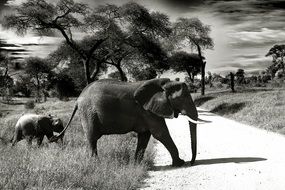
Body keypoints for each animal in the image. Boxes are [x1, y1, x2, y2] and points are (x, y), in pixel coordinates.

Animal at [51, 78, 202, 166]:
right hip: (88, 113)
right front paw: (180, 163)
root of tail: (77, 99)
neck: (163, 85)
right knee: (92, 139)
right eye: (183, 98)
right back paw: (96, 164)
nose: (191, 162)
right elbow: (160, 133)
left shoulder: (147, 111)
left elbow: (145, 135)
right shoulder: (147, 111)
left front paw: (137, 165)